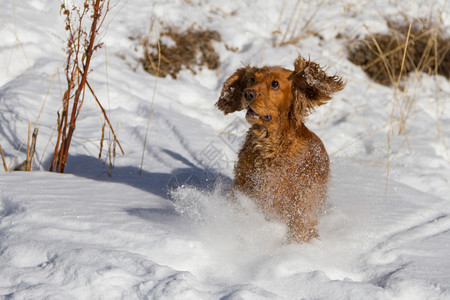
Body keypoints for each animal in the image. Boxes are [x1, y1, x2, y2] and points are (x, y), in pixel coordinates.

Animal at [214, 55, 344, 243]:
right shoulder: (244, 187)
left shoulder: (300, 206)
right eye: (252, 79)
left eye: (275, 84)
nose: (248, 93)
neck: (270, 146)